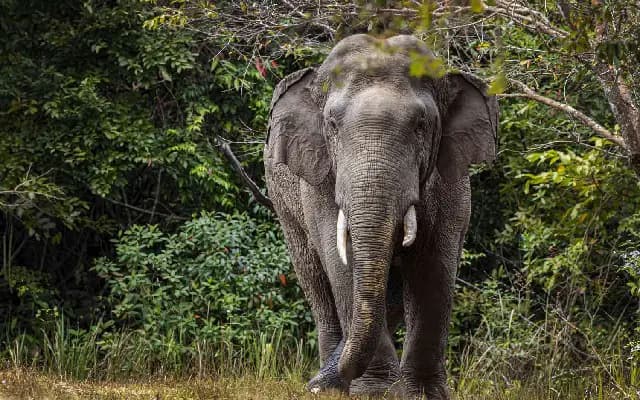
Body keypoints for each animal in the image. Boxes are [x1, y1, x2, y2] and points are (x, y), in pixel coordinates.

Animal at [263, 34, 498, 399]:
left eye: (420, 126)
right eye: (332, 125)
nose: (313, 384)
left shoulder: (451, 178)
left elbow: (435, 267)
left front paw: (423, 394)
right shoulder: (319, 180)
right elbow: (341, 262)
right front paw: (376, 392)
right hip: (283, 201)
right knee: (315, 280)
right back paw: (329, 387)